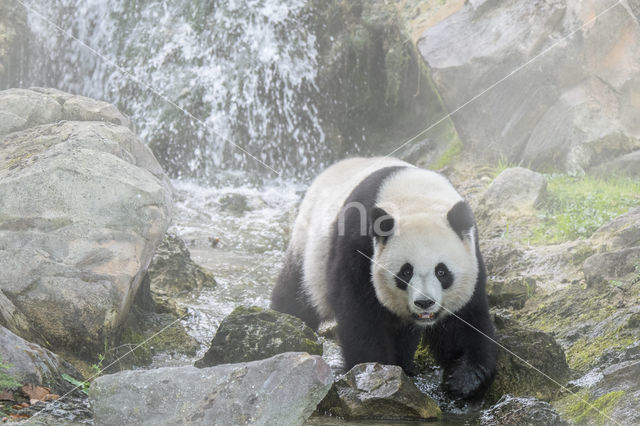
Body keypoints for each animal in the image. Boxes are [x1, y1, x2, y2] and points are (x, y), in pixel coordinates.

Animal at [272, 156, 498, 400]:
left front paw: (464, 379)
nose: (424, 302)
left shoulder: (471, 253)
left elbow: (464, 320)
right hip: (308, 252)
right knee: (296, 295)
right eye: (406, 271)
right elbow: (360, 314)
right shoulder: (358, 245)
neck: (415, 197)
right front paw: (376, 371)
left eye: (442, 272)